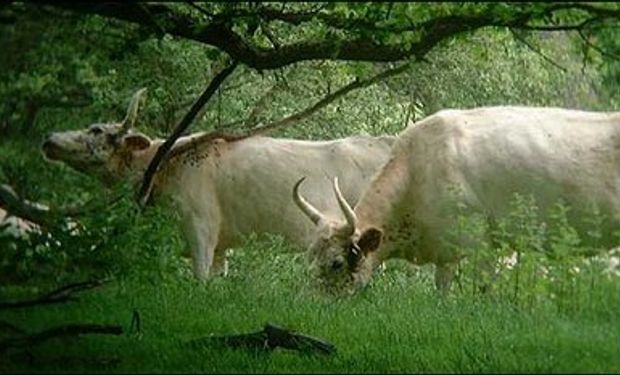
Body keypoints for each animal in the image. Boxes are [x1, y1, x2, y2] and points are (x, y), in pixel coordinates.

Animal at [42, 89, 398, 280]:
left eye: (96, 130)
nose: (49, 139)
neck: (166, 164)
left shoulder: (199, 226)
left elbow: (199, 280)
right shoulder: (221, 246)